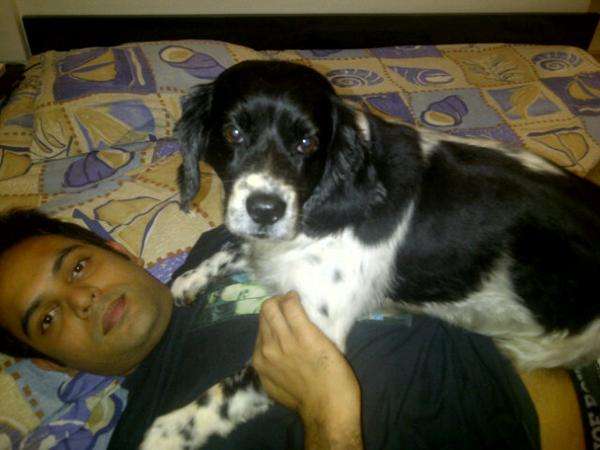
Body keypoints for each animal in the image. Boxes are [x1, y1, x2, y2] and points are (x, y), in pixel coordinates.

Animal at [142, 60, 600, 448]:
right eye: (233, 134)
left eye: (307, 142)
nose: (266, 209)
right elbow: (233, 248)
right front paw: (191, 279)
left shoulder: (316, 333)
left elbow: (221, 396)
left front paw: (166, 433)